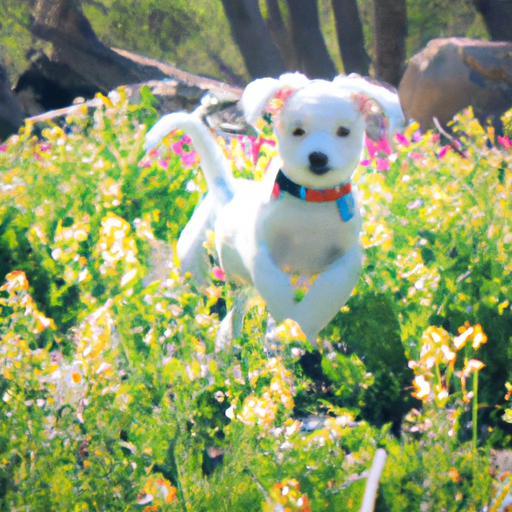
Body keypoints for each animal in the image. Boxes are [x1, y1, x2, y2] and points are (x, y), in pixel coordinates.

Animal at [144, 72, 404, 342]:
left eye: (344, 131)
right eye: (297, 131)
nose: (318, 157)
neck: (311, 202)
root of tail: (227, 194)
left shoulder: (346, 261)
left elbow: (325, 294)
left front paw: (300, 327)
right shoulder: (261, 254)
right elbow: (276, 287)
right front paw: (286, 323)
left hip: (239, 286)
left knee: (235, 312)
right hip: (196, 269)